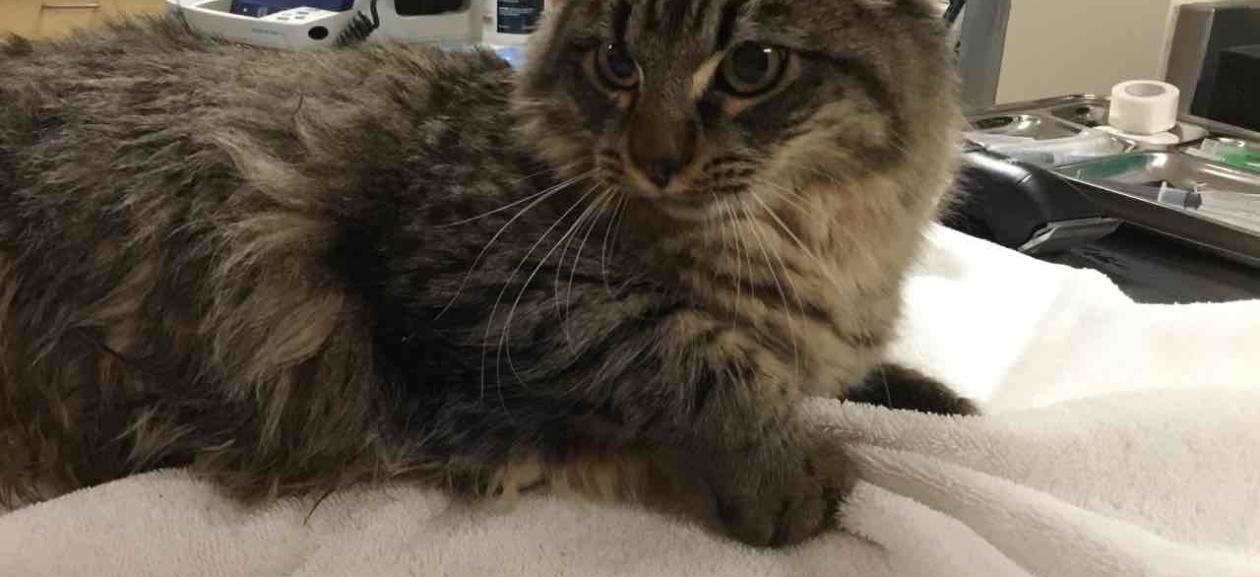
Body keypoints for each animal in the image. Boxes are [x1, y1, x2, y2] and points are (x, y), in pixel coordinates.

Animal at [0, 0, 972, 544]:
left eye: (753, 66)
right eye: (617, 64)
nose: (655, 159)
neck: (812, 242)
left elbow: (877, 381)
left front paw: (950, 406)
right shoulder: (486, 282)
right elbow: (685, 351)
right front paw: (788, 473)